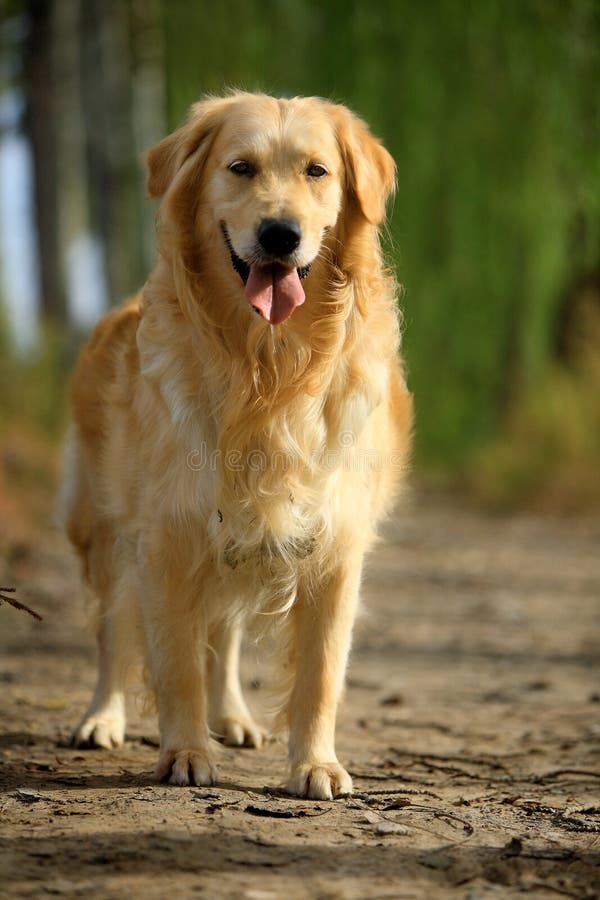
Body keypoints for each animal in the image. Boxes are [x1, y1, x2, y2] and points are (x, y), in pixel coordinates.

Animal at [64, 91, 412, 800]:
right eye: (240, 168)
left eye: (316, 171)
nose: (281, 234)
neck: (267, 369)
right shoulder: (168, 534)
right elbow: (175, 663)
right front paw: (185, 753)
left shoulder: (334, 544)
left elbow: (320, 674)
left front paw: (315, 764)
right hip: (103, 525)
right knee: (113, 630)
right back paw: (102, 718)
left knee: (222, 634)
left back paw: (233, 718)